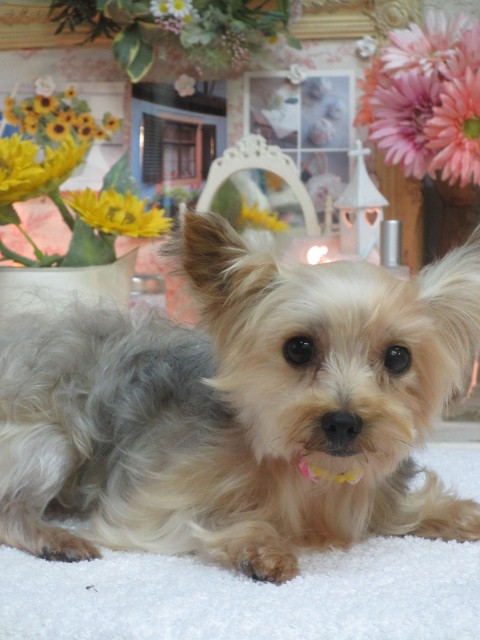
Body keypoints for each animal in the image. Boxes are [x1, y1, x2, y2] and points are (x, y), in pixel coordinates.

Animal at [1, 210, 480, 584]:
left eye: (398, 357)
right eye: (298, 348)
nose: (343, 423)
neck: (312, 476)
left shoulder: (374, 496)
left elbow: (407, 509)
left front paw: (461, 515)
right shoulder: (149, 509)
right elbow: (210, 520)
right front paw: (262, 546)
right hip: (52, 438)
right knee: (11, 507)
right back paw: (54, 537)